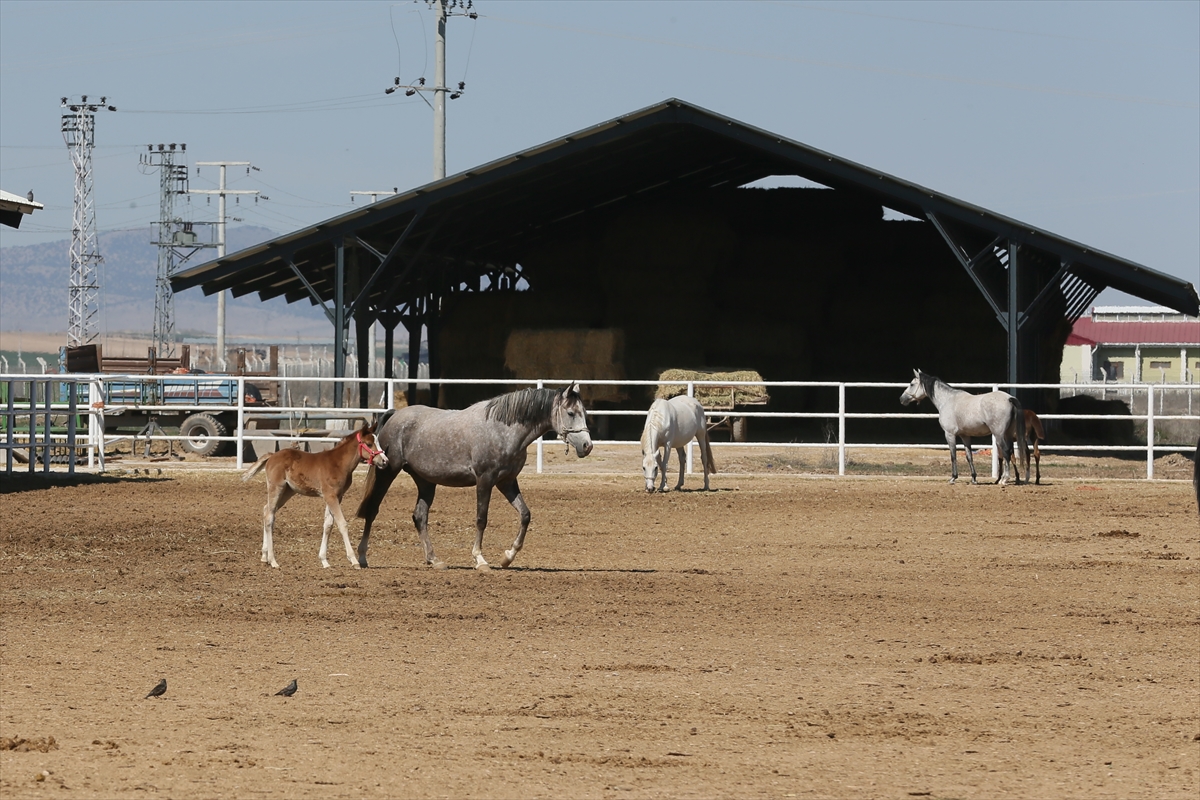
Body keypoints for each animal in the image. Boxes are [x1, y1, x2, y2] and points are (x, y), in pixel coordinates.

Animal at [243, 424, 388, 568]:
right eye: (369, 444)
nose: (385, 461)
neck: (338, 464)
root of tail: (272, 455)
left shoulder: (337, 496)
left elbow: (328, 525)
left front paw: (324, 561)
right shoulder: (330, 496)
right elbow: (342, 524)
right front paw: (353, 560)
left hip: (288, 491)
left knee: (266, 510)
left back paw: (264, 556)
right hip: (277, 488)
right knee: (269, 516)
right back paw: (273, 560)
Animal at [352, 381, 592, 568]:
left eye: (585, 413)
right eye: (571, 413)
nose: (587, 446)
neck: (504, 429)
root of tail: (395, 415)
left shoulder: (506, 482)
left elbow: (525, 515)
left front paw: (508, 557)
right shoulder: (484, 480)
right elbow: (481, 519)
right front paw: (480, 559)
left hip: (426, 482)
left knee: (420, 516)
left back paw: (434, 560)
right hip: (387, 472)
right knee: (372, 510)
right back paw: (362, 557)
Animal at [902, 371, 1032, 489]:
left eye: (912, 384)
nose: (901, 399)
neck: (947, 400)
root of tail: (1009, 398)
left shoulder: (949, 434)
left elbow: (953, 455)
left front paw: (953, 478)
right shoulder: (965, 436)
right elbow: (969, 456)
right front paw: (974, 479)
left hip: (999, 434)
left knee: (1006, 451)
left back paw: (1004, 479)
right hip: (1007, 434)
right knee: (1010, 452)